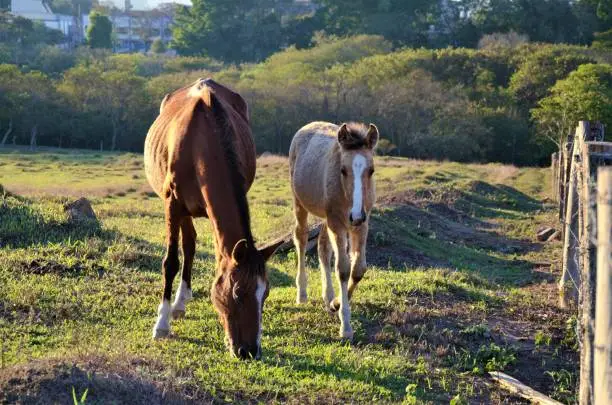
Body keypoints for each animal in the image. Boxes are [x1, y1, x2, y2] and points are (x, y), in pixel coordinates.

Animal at [145, 77, 280, 358]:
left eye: (266, 295)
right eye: (238, 292)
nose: (249, 351)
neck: (203, 140)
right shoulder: (173, 203)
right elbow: (171, 262)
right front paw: (162, 324)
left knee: (191, 243)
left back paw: (181, 301)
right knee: (188, 243)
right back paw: (176, 305)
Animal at [288, 121, 378, 340]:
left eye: (371, 170)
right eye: (343, 170)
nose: (355, 216)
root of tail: (307, 126)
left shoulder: (362, 225)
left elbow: (359, 269)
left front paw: (336, 302)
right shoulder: (337, 223)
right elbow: (343, 269)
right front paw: (345, 326)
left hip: (325, 217)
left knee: (322, 247)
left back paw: (328, 295)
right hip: (300, 204)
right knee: (301, 238)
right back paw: (302, 293)